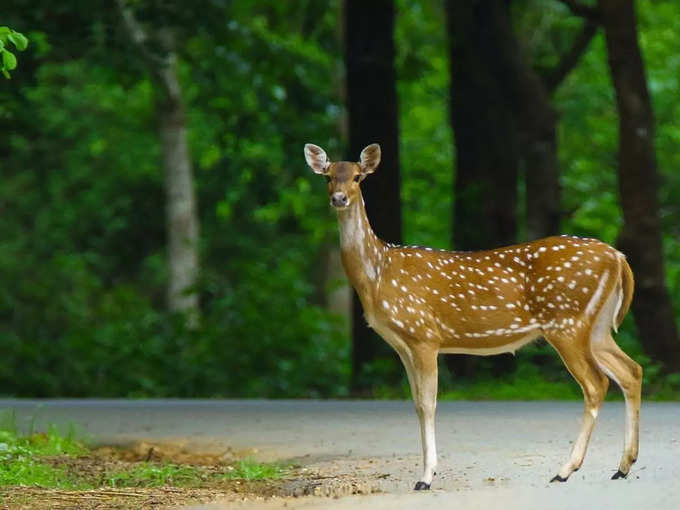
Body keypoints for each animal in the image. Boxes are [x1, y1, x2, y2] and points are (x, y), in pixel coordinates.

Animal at [306, 142, 644, 490]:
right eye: (328, 177)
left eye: (358, 177)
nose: (339, 198)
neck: (377, 275)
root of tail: (618, 257)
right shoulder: (402, 345)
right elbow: (416, 404)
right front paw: (426, 472)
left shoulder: (424, 335)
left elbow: (428, 403)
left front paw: (426, 477)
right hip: (597, 327)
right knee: (631, 371)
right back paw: (622, 466)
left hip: (566, 322)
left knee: (597, 383)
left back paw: (566, 469)